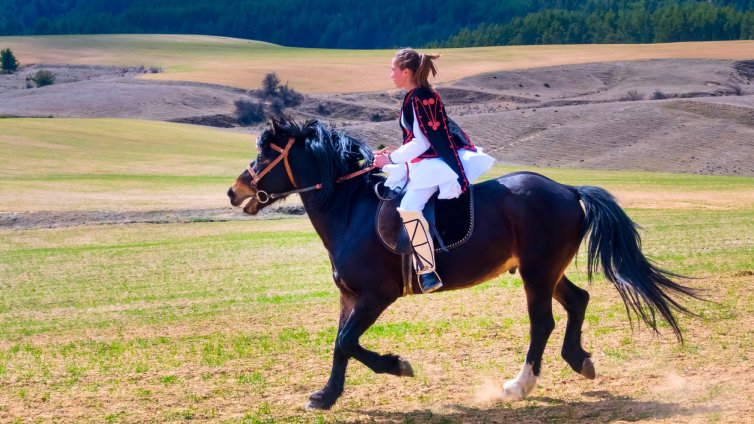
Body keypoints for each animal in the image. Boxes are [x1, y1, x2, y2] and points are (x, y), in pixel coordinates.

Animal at [226, 117, 696, 410]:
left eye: (265, 154)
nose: (234, 191)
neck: (349, 210)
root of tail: (566, 189)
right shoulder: (351, 297)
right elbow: (340, 345)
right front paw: (326, 396)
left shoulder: (377, 295)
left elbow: (346, 343)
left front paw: (397, 366)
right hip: (546, 270)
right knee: (578, 300)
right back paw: (579, 360)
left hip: (537, 273)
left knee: (542, 322)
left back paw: (519, 385)